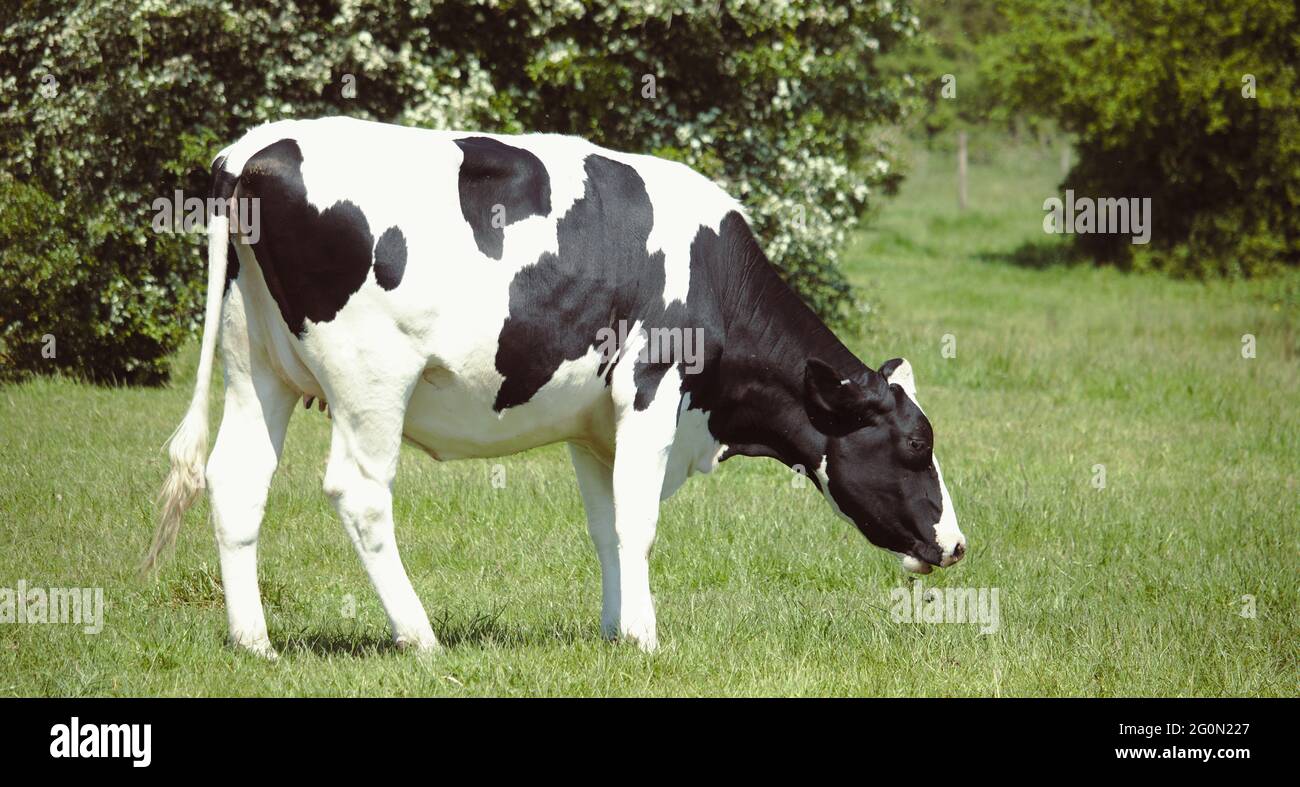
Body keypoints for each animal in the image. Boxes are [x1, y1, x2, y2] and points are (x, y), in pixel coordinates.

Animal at [146, 117, 966, 658]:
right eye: (915, 442)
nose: (956, 544)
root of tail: (253, 148)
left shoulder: (593, 423)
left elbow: (606, 527)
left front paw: (615, 631)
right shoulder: (651, 390)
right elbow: (638, 523)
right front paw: (646, 639)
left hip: (257, 364)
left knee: (237, 479)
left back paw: (254, 642)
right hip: (370, 378)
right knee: (360, 492)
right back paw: (420, 637)